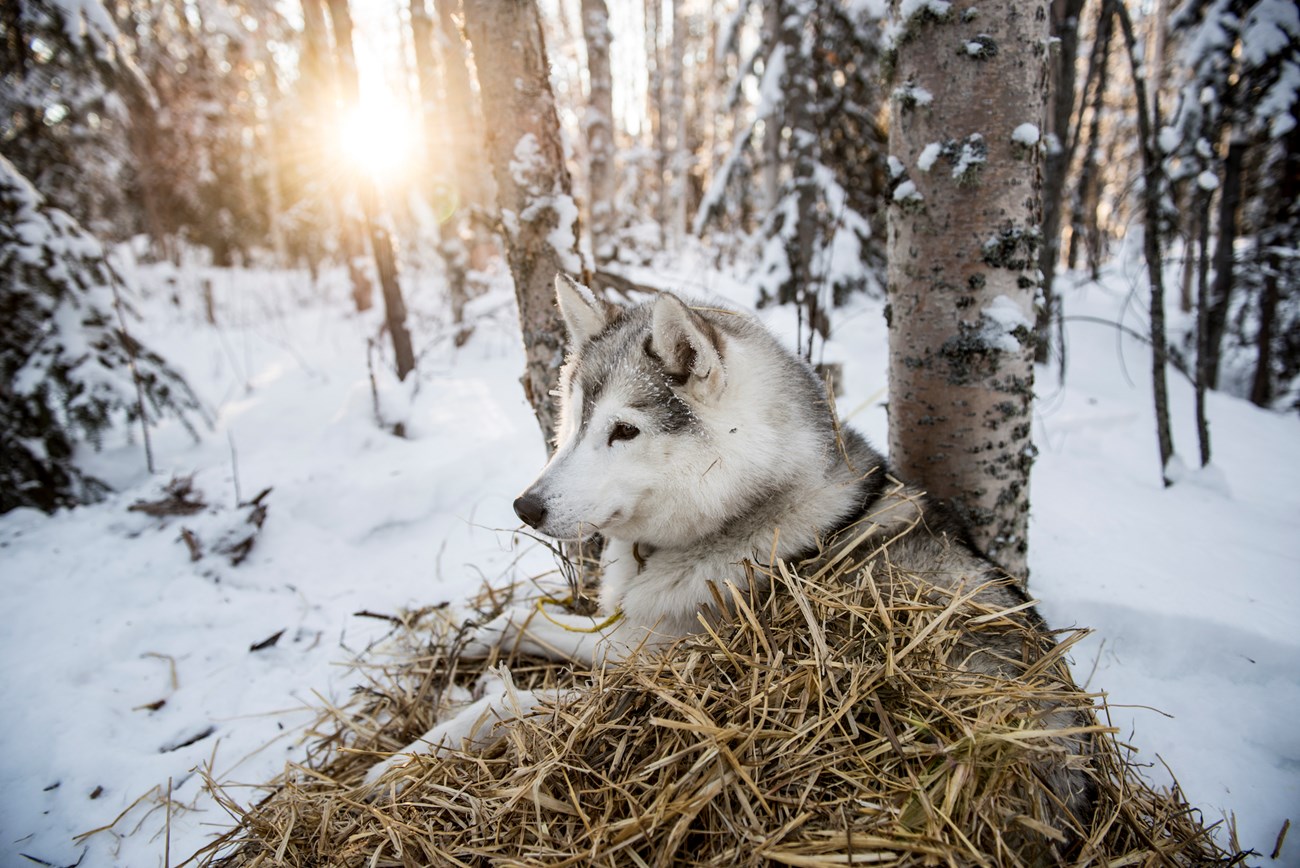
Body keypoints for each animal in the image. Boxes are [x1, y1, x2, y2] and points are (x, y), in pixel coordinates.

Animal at [369, 272, 1097, 842]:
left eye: (624, 431)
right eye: (573, 420)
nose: (527, 506)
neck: (739, 509)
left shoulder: (650, 668)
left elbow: (513, 700)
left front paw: (405, 759)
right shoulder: (626, 634)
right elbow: (529, 617)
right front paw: (452, 636)